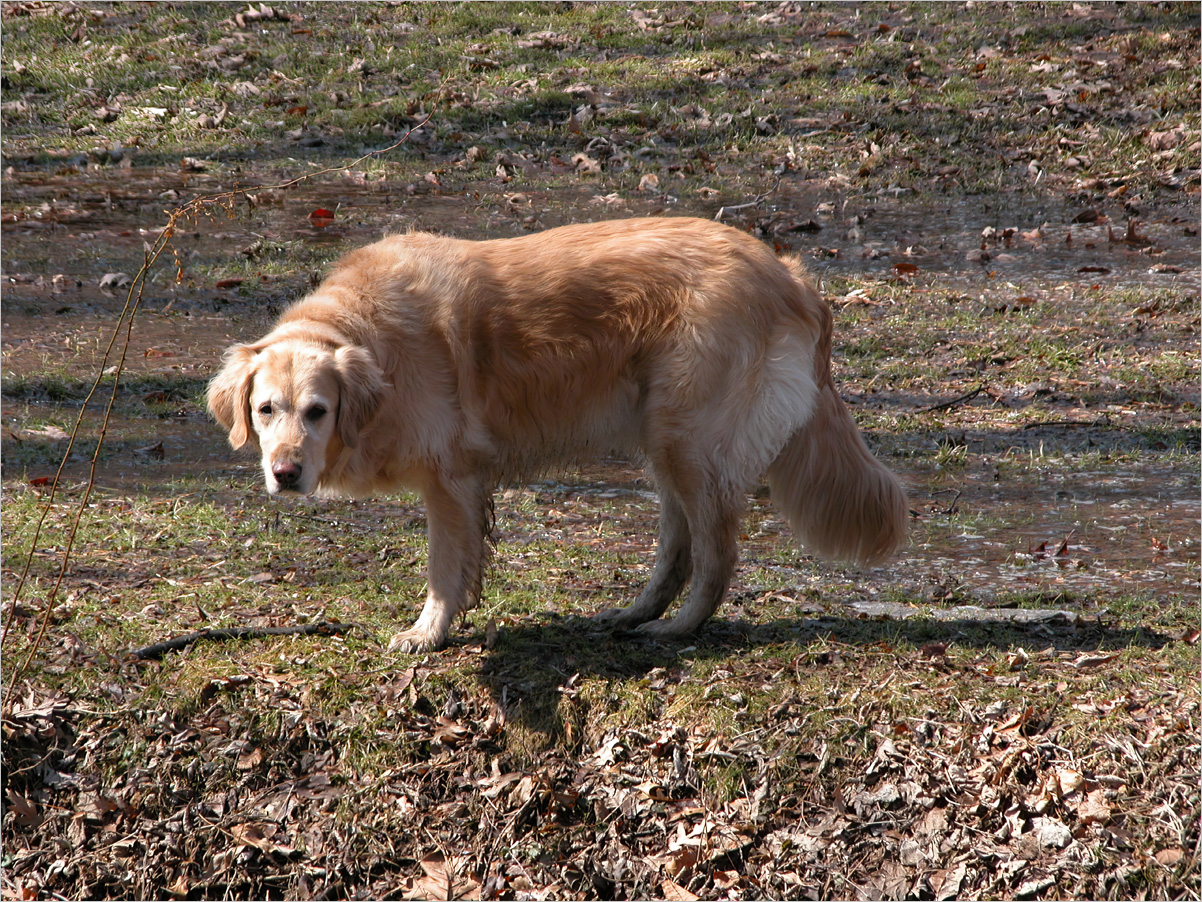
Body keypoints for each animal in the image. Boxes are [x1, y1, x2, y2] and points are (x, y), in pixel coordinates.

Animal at [208, 217, 908, 651]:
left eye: (318, 411)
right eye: (265, 410)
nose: (285, 474)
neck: (368, 334)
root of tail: (787, 272)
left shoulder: (451, 478)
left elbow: (444, 567)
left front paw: (429, 632)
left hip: (689, 443)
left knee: (716, 557)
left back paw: (677, 629)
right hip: (663, 443)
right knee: (677, 550)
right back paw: (634, 613)